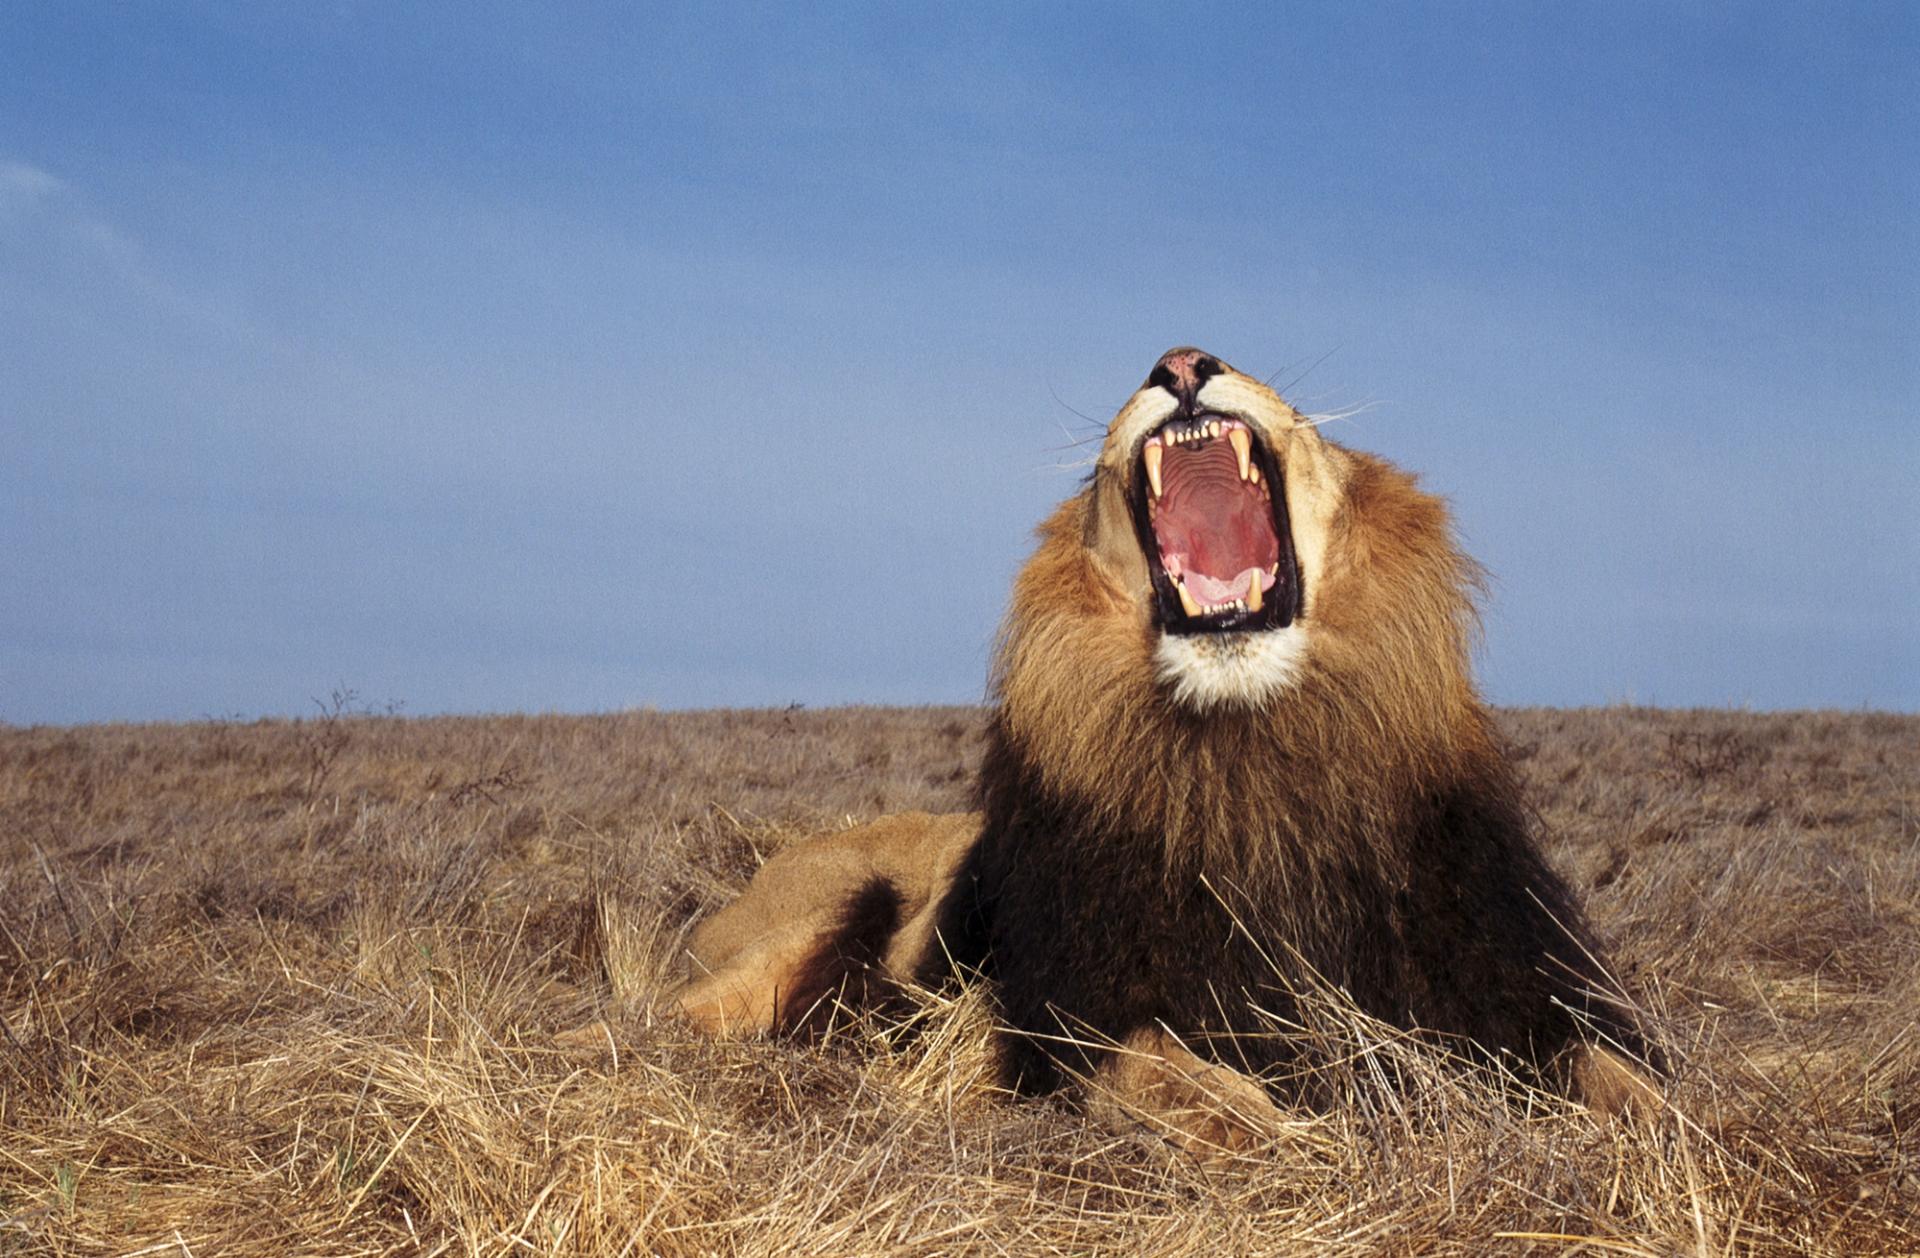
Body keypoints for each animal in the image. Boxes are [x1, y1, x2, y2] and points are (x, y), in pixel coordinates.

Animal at [677, 348, 1658, 1151]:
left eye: (1300, 412)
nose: (1182, 361)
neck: (1253, 755)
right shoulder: (1064, 1025)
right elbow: (1178, 1079)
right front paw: (1302, 1141)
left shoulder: (1517, 985)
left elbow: (1633, 1085)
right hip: (813, 918)